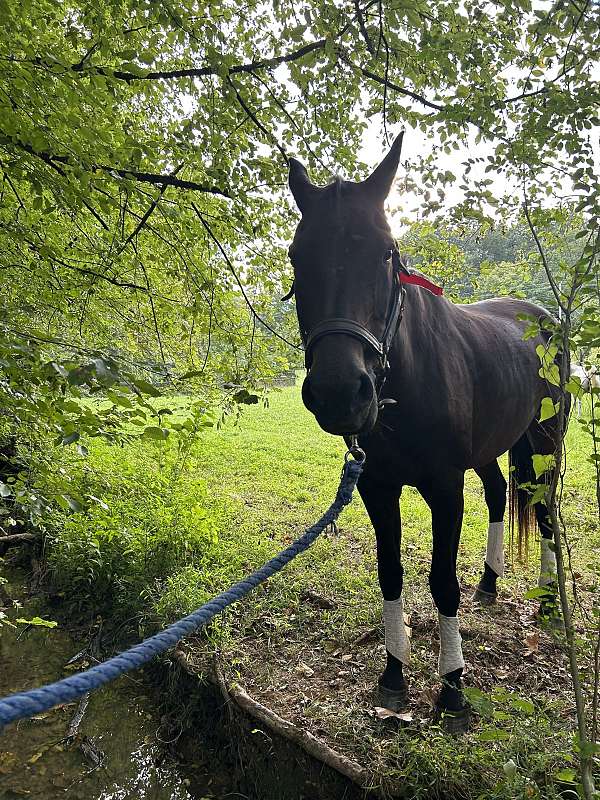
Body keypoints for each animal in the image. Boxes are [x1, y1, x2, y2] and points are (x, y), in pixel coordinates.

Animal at [286, 133, 564, 732]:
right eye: (298, 257)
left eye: (386, 255)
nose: (340, 392)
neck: (406, 386)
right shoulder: (377, 488)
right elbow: (390, 574)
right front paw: (394, 674)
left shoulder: (444, 489)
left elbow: (441, 582)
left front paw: (453, 687)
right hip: (492, 449)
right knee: (501, 493)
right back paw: (490, 582)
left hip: (545, 442)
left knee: (547, 510)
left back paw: (551, 602)